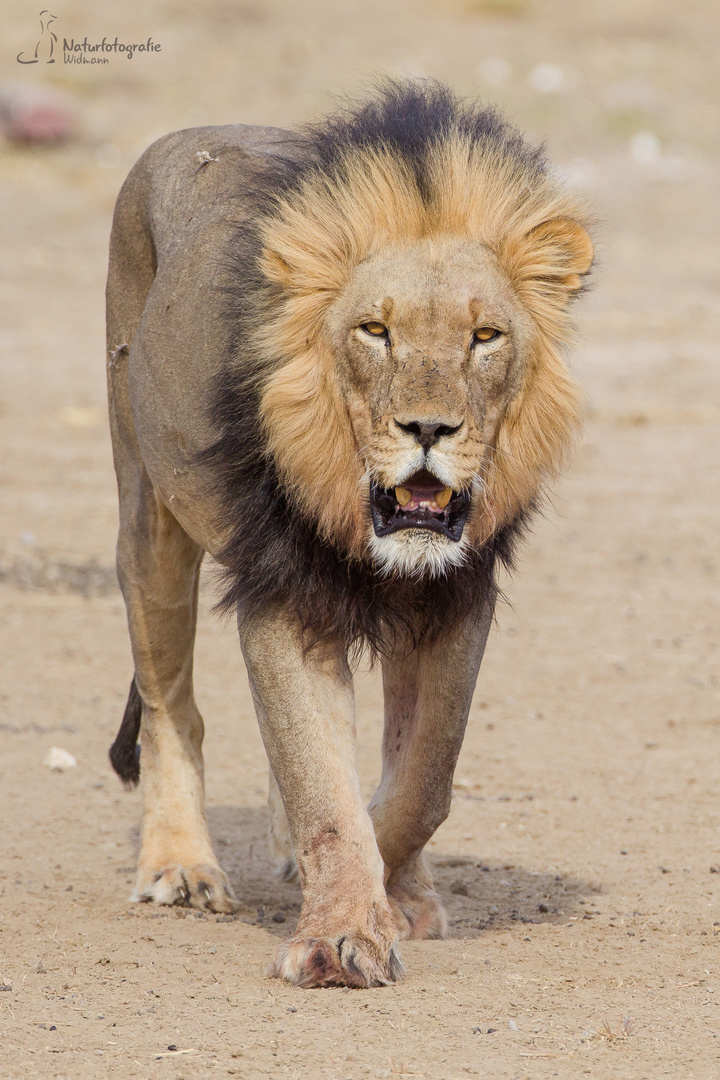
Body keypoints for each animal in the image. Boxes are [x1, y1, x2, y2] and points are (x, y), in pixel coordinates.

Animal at [105, 82, 591, 989]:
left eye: (485, 337)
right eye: (375, 330)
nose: (429, 428)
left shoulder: (457, 600)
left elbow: (417, 785)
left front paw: (389, 901)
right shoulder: (283, 597)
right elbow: (328, 793)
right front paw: (338, 936)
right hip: (147, 517)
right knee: (169, 707)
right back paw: (180, 866)